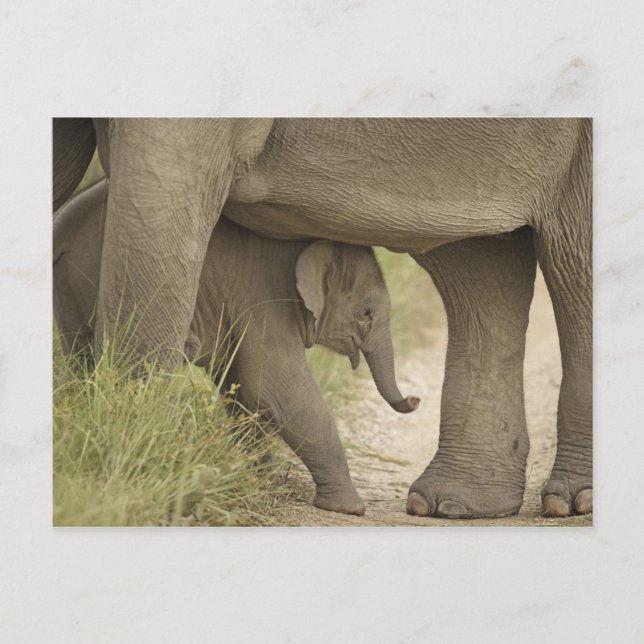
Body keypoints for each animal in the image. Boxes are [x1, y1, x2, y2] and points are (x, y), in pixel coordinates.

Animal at [53, 178, 420, 516]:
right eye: (366, 314)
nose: (414, 399)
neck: (312, 243)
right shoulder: (265, 297)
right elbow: (275, 385)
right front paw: (350, 509)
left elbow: (241, 385)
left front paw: (259, 478)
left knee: (81, 358)